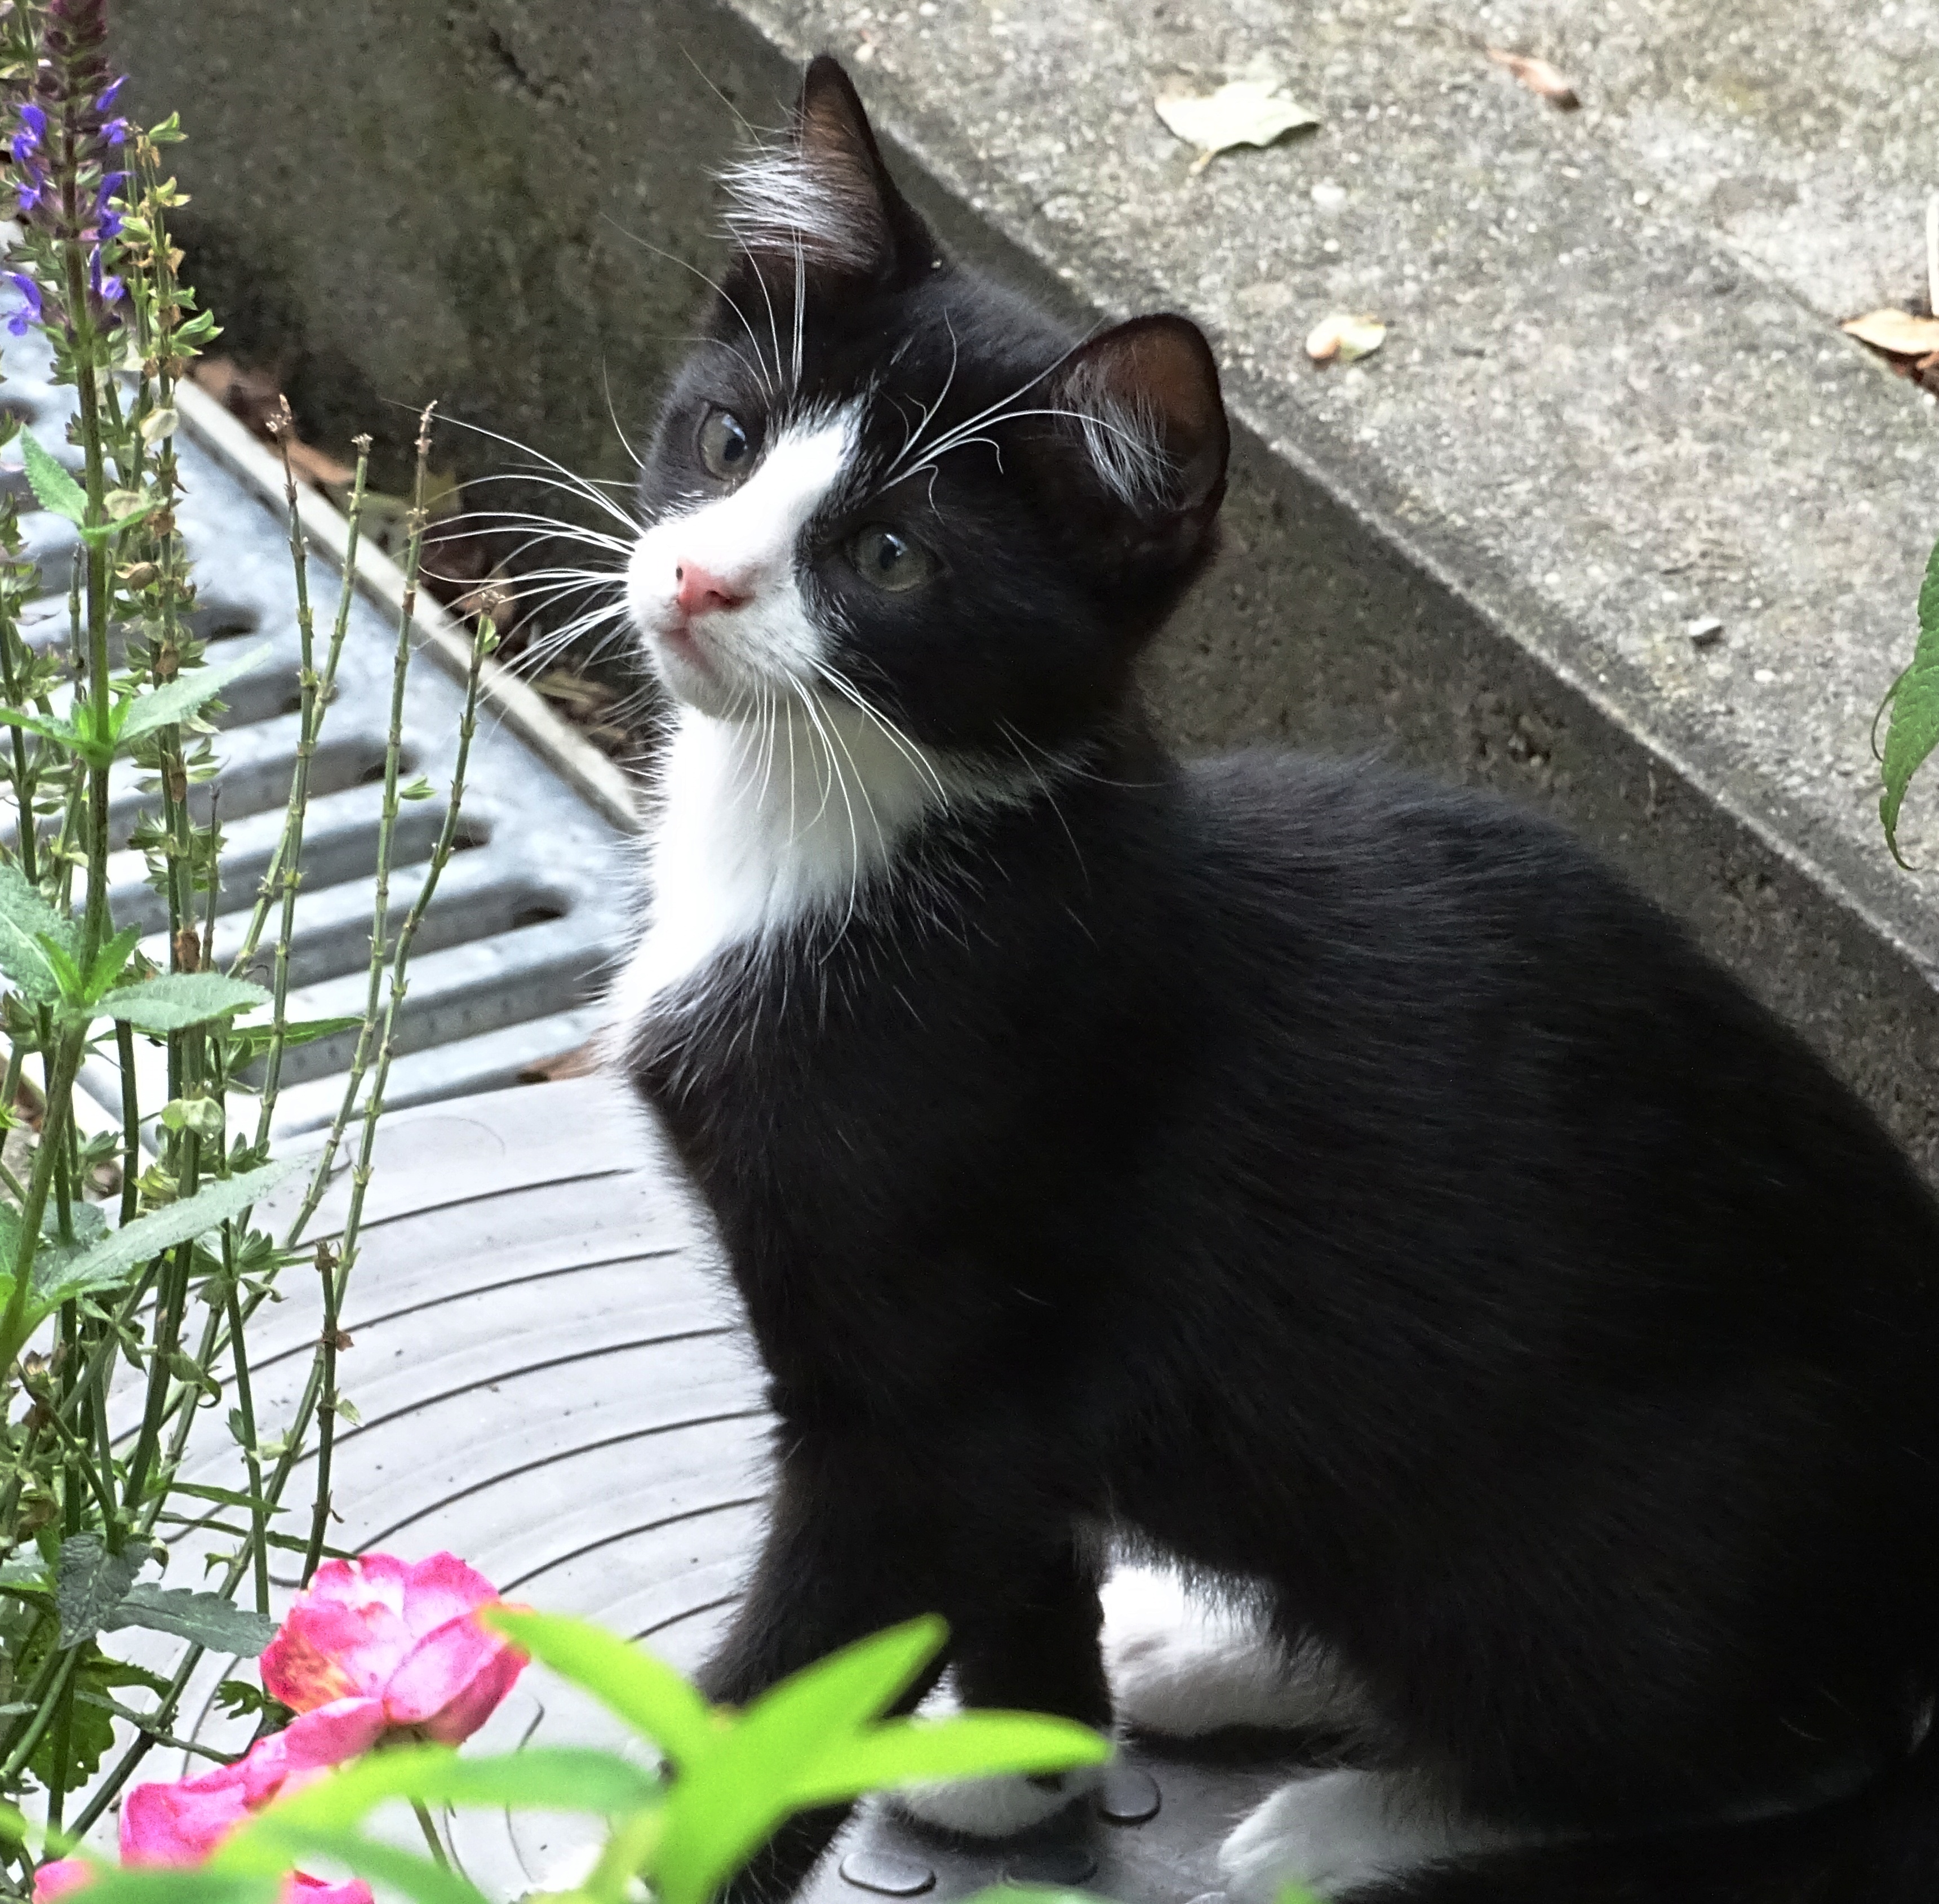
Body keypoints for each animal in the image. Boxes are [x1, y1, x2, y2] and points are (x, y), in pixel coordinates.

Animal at [613, 53, 1939, 1904]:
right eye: (727, 440)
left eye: (885, 559)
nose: (692, 575)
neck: (856, 836)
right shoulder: (1004, 1375)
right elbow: (1010, 1538)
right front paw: (1018, 1766)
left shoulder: (928, 1354)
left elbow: (818, 1648)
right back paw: (1223, 1656)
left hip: (1608, 1513)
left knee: (1758, 1741)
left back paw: (1357, 1818)